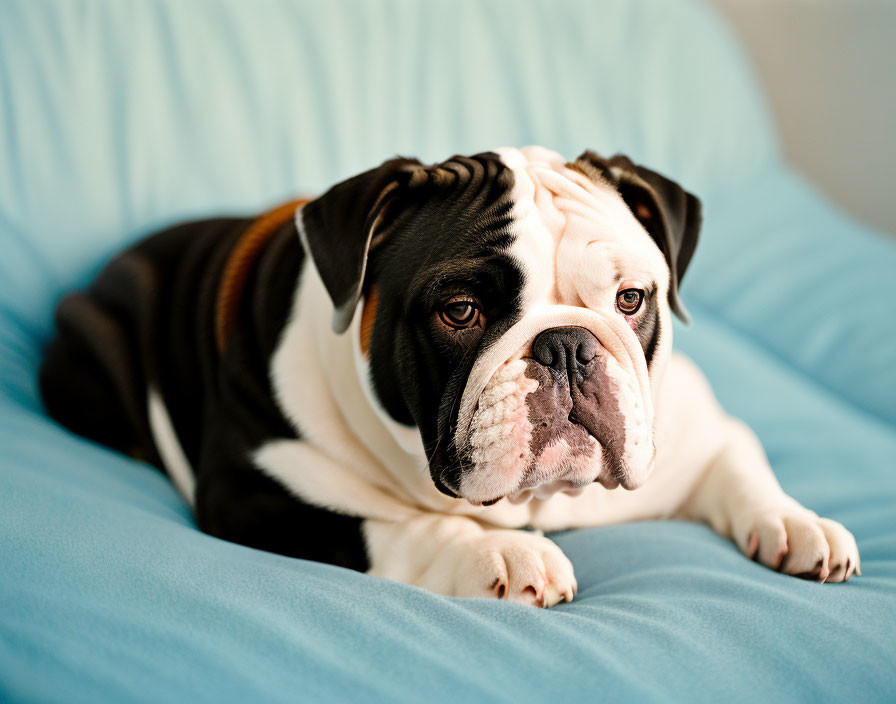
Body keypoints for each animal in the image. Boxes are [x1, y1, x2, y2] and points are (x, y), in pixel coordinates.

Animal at [40, 147, 860, 604]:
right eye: (460, 311)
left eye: (631, 300)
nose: (567, 345)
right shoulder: (252, 491)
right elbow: (384, 524)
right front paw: (498, 551)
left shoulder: (693, 431)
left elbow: (739, 465)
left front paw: (798, 522)